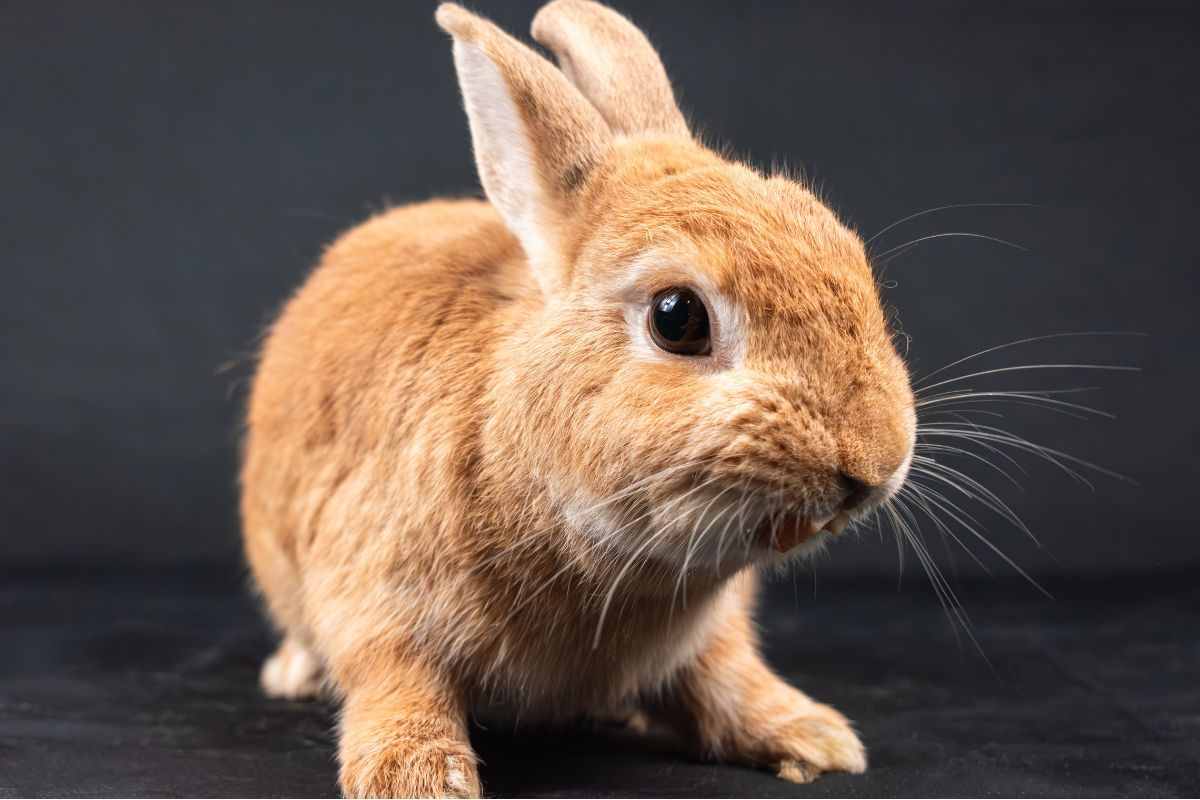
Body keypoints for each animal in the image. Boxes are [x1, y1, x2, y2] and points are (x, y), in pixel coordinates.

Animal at [240, 1, 916, 796]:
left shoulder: (708, 637)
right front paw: (418, 776)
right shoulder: (375, 593)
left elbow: (724, 678)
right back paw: (292, 675)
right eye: (677, 318)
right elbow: (397, 680)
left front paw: (813, 738)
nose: (876, 463)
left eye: (848, 252)